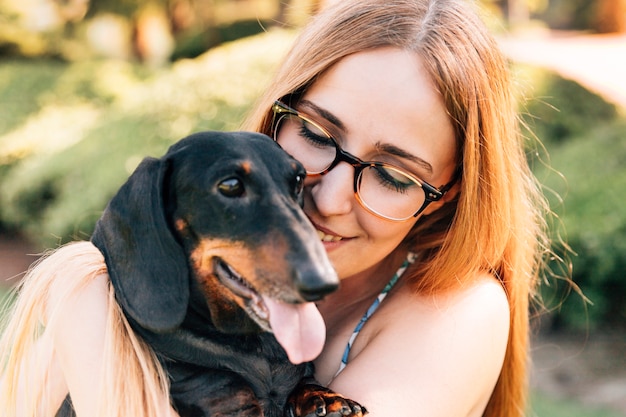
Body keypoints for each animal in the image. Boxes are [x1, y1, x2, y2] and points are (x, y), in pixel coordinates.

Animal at [56, 131, 366, 416]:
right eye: (230, 185)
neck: (257, 351)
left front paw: (327, 399)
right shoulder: (223, 404)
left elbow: (305, 382)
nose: (324, 282)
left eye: (299, 180)